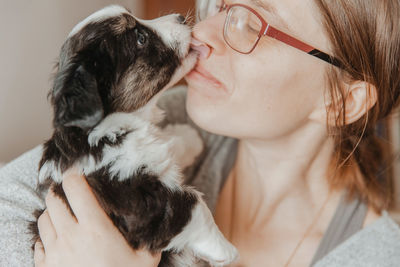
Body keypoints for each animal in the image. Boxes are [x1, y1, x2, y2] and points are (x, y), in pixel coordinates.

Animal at [31, 4, 239, 267]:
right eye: (141, 39)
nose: (181, 18)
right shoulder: (141, 204)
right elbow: (194, 205)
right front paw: (226, 250)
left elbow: (168, 146)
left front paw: (189, 138)